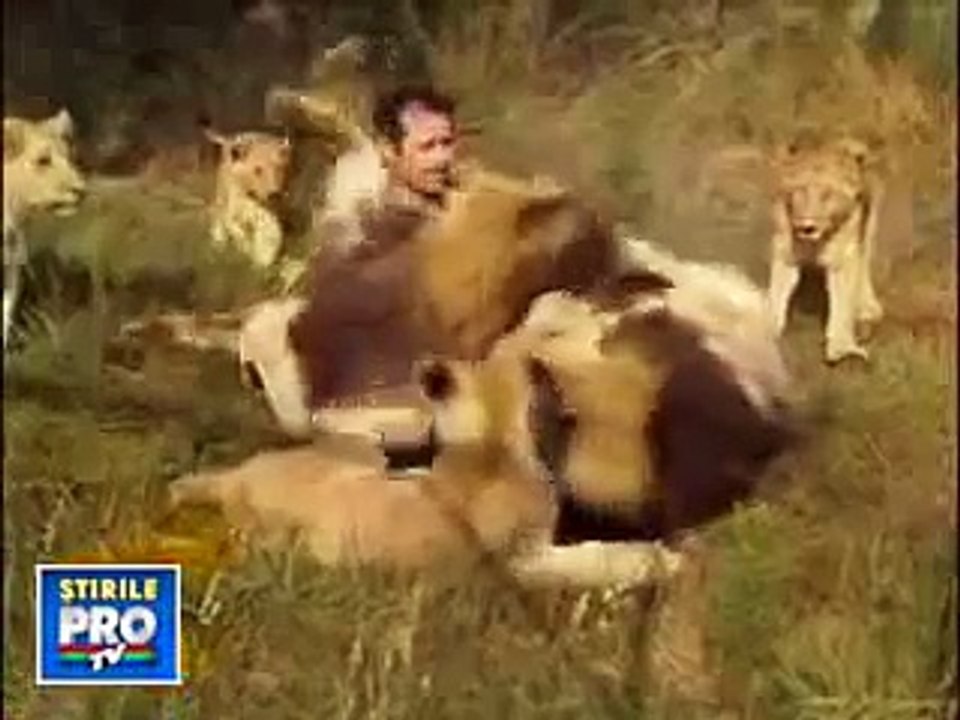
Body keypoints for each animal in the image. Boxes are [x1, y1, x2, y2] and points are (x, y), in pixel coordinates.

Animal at [767, 136, 885, 364]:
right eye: (800, 191)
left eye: (827, 195)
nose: (807, 226)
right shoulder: (785, 252)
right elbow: (777, 291)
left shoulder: (843, 258)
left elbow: (843, 301)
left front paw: (841, 347)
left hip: (867, 228)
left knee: (863, 266)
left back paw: (867, 309)